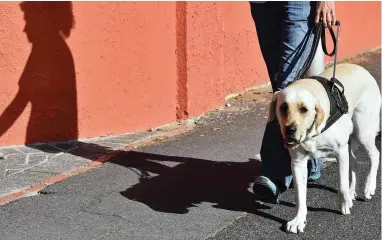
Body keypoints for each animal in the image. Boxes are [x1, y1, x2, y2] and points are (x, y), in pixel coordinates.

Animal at [268, 63, 382, 232]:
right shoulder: (298, 163)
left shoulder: (340, 151)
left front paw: (344, 205)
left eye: (304, 109)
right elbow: (299, 196)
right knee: (355, 162)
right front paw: (298, 220)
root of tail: (361, 68)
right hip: (350, 141)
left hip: (363, 132)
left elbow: (341, 185)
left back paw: (369, 187)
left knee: (375, 155)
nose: (290, 130)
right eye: (283, 107)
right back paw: (352, 191)